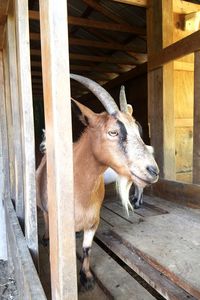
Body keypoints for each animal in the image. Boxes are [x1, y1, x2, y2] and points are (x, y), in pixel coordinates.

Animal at [35, 74, 158, 290]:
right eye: (112, 132)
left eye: (137, 131)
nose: (153, 170)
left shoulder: (93, 221)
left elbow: (87, 248)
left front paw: (86, 277)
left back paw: (137, 202)